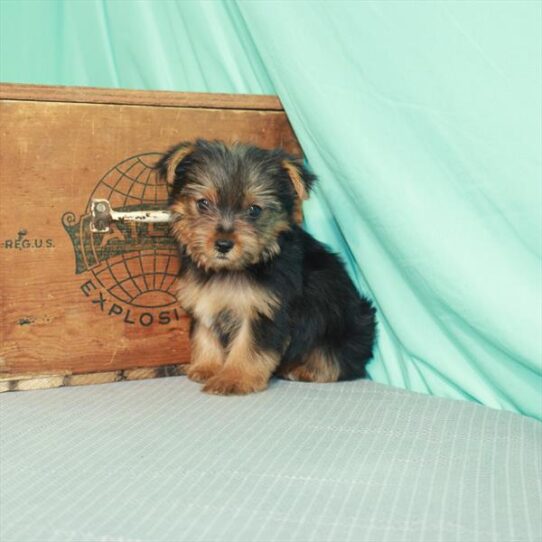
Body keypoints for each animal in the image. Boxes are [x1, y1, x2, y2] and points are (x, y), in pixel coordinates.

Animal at [159, 139, 376, 396]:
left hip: (346, 326)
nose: (223, 244)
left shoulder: (264, 311)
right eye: (203, 204)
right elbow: (205, 334)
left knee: (339, 360)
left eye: (254, 210)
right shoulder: (204, 300)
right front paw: (207, 367)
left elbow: (249, 347)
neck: (235, 269)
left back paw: (304, 369)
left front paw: (233, 378)